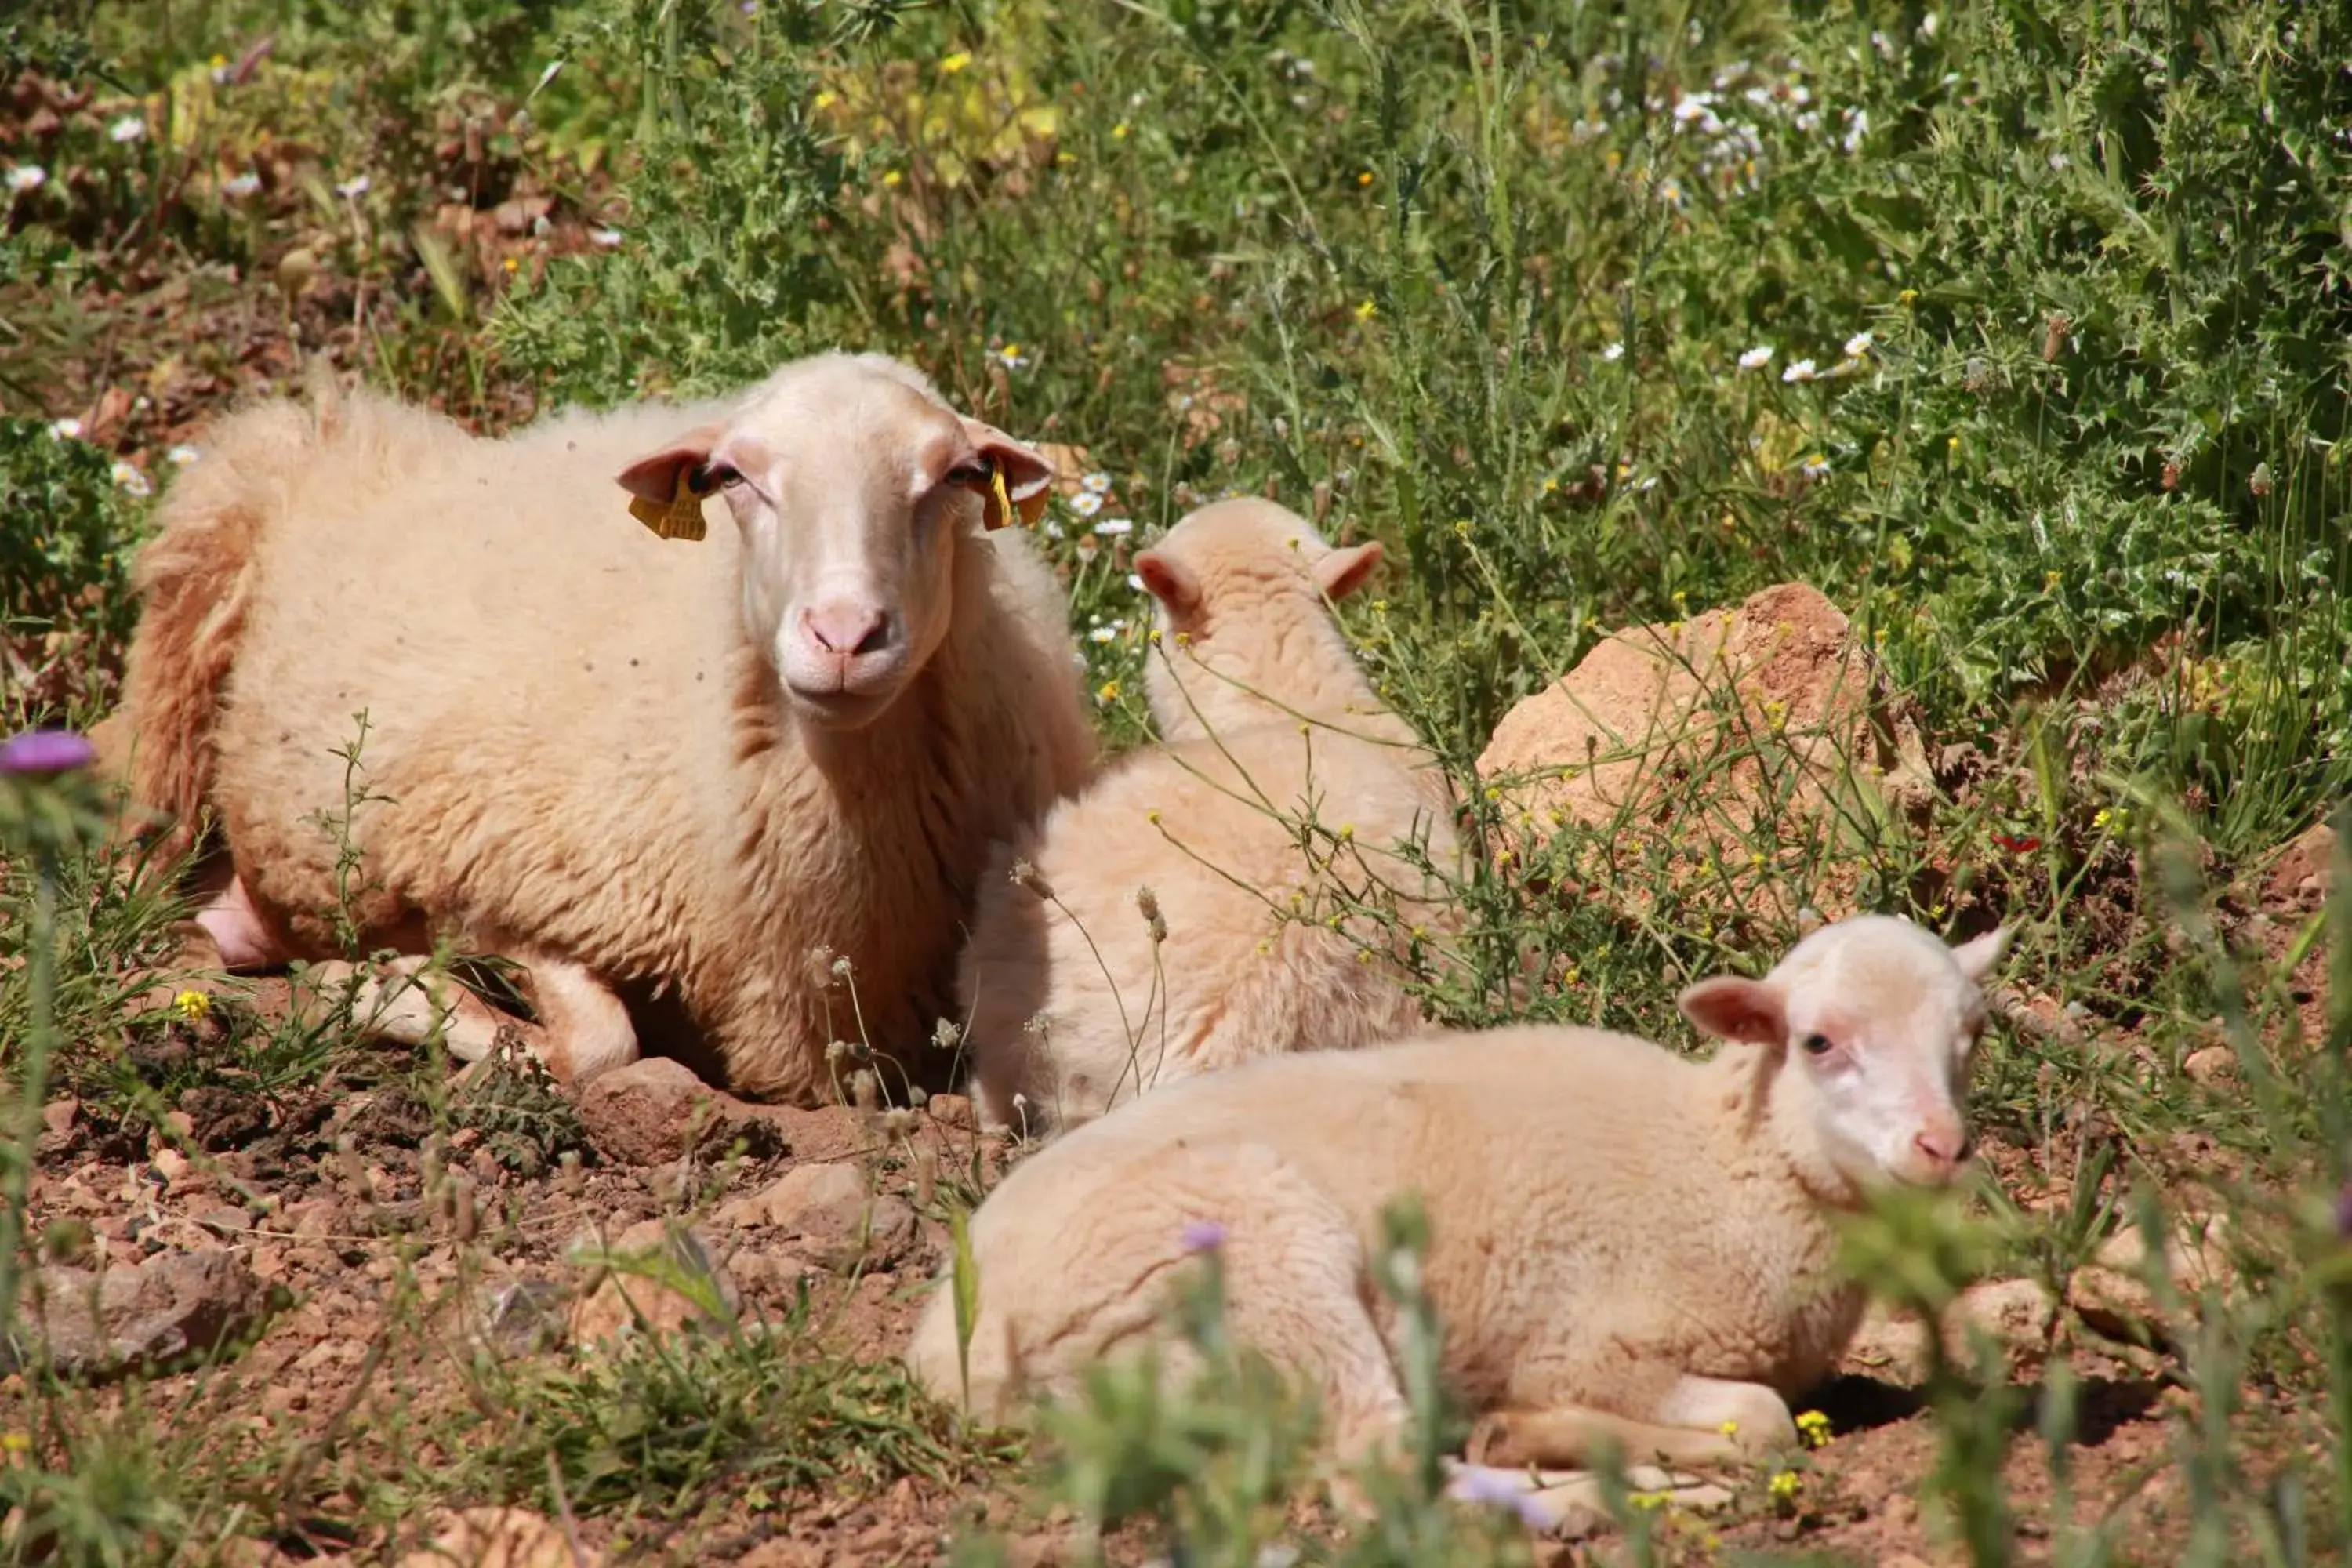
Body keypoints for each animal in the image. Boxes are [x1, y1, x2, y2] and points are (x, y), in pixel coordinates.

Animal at [114, 352, 1096, 1105]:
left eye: (956, 477)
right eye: (732, 479)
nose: (846, 635)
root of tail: (352, 417)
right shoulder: (495, 882)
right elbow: (600, 1041)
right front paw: (392, 990)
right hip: (175, 683)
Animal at [908, 912, 2013, 1476]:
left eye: (1972, 1032)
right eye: (1818, 1041)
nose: (1943, 1146)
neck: (1727, 1165)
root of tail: (955, 1352)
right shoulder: (1592, 1343)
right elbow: (1765, 1417)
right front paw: (1547, 1424)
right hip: (1263, 1244)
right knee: (1383, 1451)